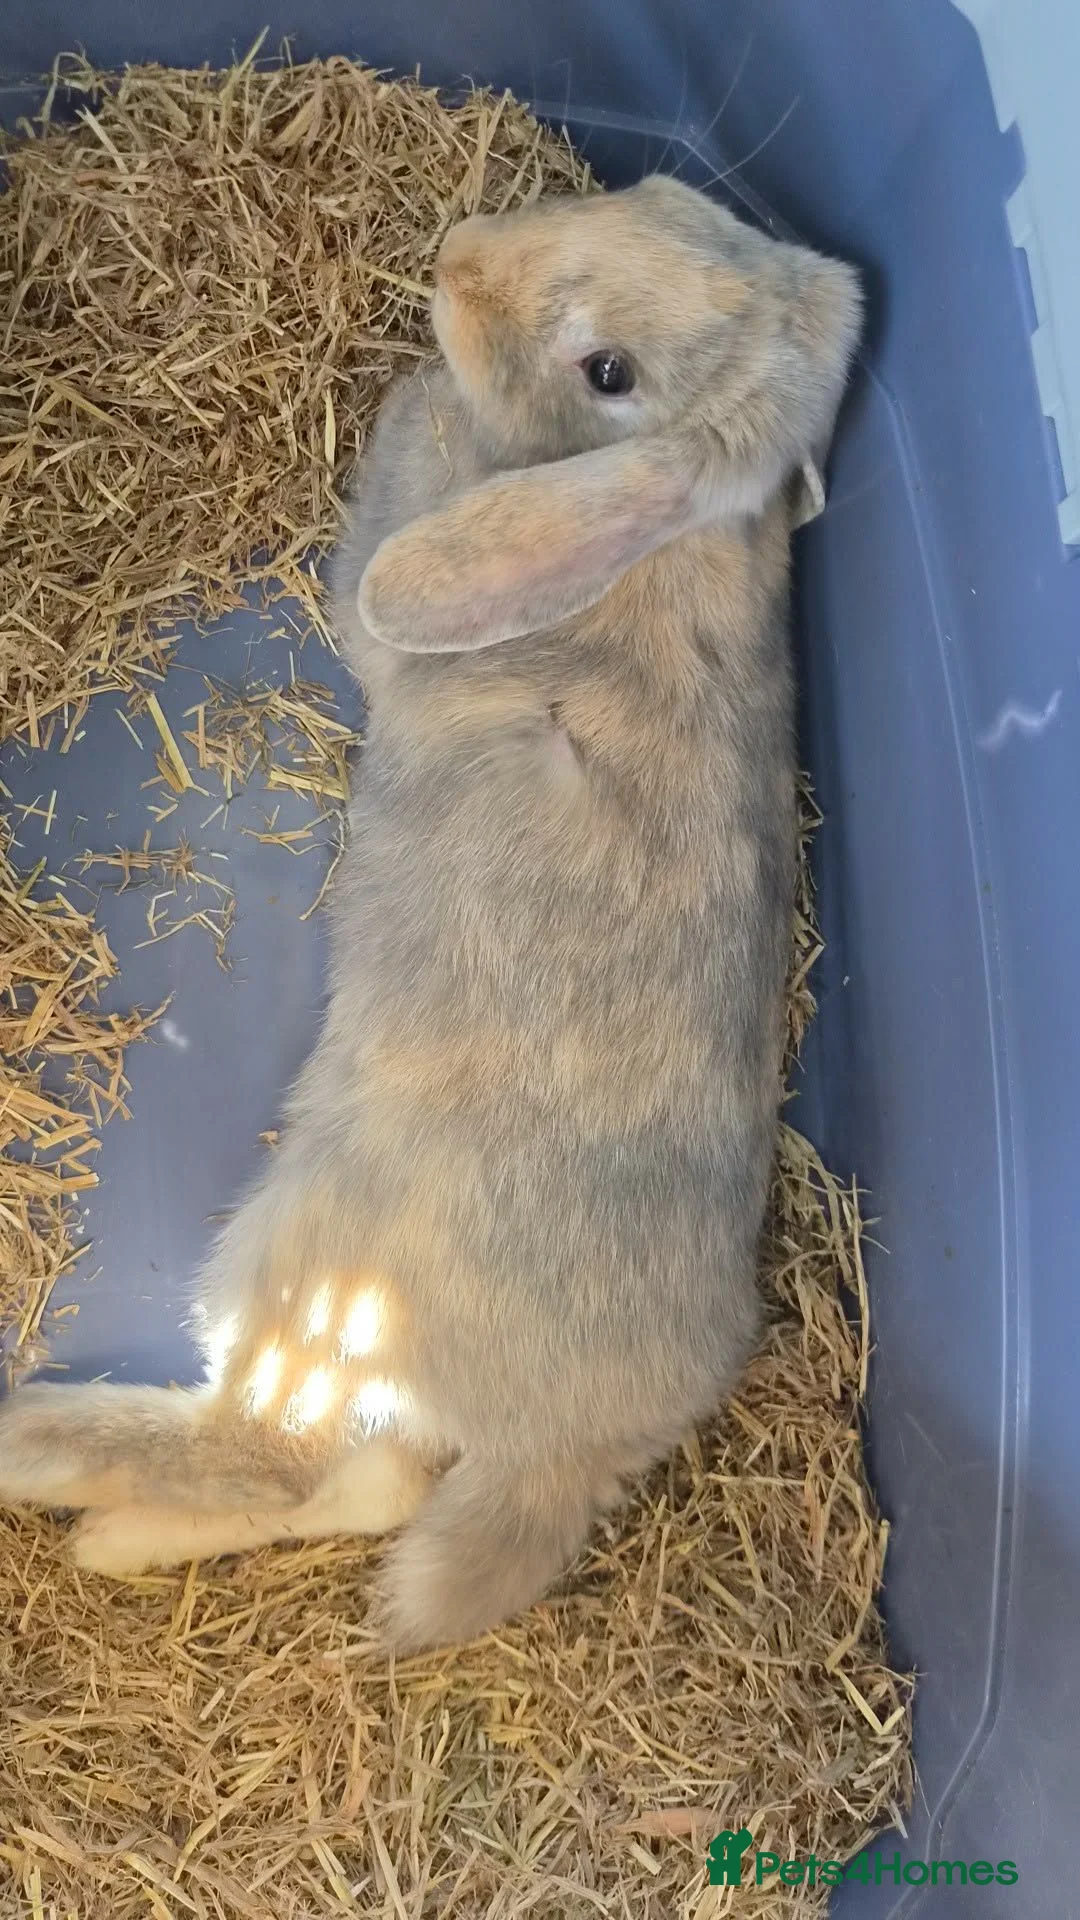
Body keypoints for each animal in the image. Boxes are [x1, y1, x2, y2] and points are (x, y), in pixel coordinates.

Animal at [0, 175, 861, 1650]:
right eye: (666, 198)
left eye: (609, 370)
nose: (457, 259)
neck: (668, 537)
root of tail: (571, 1443)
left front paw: (417, 409)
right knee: (368, 1485)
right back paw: (119, 1544)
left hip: (304, 1268)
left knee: (274, 1449)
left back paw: (41, 1453)